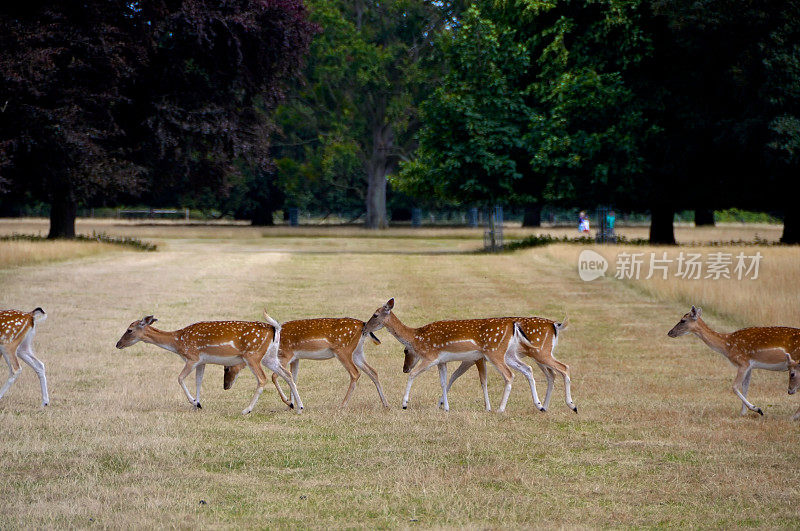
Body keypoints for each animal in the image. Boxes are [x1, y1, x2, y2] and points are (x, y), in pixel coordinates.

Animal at [117, 314, 304, 414]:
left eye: (129, 330)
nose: (117, 344)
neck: (177, 342)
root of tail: (274, 329)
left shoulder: (192, 357)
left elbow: (180, 378)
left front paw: (194, 402)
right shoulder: (202, 361)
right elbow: (198, 381)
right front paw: (198, 404)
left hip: (252, 355)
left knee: (262, 379)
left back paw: (246, 410)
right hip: (269, 357)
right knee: (287, 374)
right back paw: (299, 407)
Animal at [222, 300, 394, 408]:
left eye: (227, 367)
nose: (225, 386)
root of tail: (363, 325)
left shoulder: (286, 354)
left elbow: (275, 376)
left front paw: (288, 403)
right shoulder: (295, 358)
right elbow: (293, 377)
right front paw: (293, 405)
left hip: (343, 350)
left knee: (355, 373)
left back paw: (343, 404)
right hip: (357, 352)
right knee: (373, 371)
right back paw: (385, 404)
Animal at [434, 316, 580, 416]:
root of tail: (556, 325)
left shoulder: (476, 359)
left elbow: (473, 379)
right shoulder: (472, 360)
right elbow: (455, 376)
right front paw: (441, 403)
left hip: (540, 353)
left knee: (563, 367)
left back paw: (571, 405)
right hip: (538, 355)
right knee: (549, 374)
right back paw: (544, 406)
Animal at [664, 306, 800, 418]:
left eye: (683, 320)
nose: (670, 332)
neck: (726, 345)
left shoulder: (742, 362)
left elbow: (734, 386)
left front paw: (757, 409)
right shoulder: (750, 365)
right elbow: (745, 386)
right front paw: (743, 413)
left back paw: (793, 417)